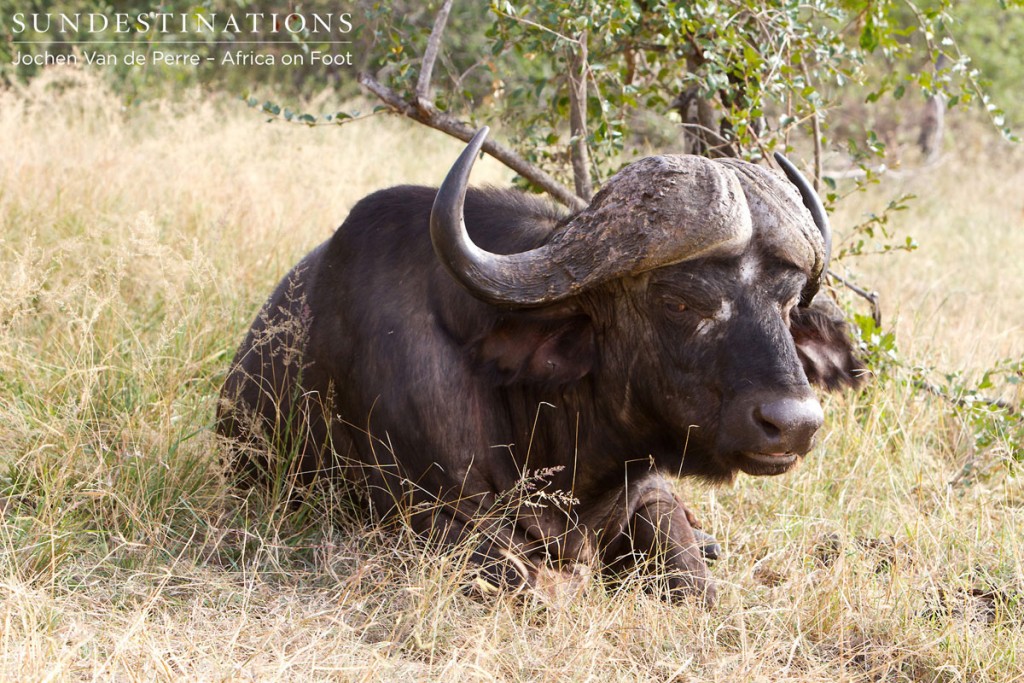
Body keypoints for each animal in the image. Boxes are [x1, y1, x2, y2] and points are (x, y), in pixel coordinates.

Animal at [218, 126, 864, 602]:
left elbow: (693, 581)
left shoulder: (650, 493)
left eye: (788, 303)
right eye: (681, 301)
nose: (794, 425)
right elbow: (541, 585)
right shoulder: (434, 518)